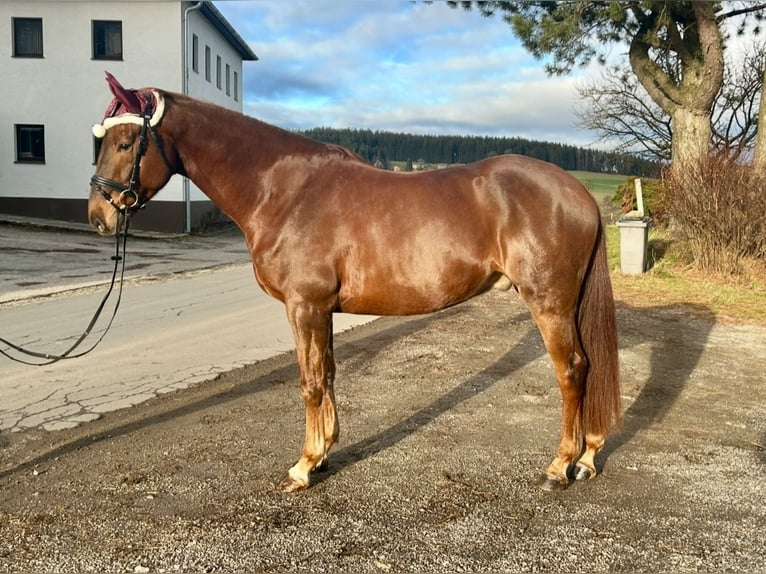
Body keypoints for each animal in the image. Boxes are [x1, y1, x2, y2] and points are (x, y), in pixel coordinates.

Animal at [87, 73, 620, 496]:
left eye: (124, 143)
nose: (98, 217)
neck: (283, 191)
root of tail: (579, 192)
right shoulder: (321, 310)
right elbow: (327, 376)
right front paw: (323, 454)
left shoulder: (304, 306)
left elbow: (309, 383)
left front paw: (303, 468)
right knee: (589, 366)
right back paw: (588, 458)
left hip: (549, 303)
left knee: (573, 370)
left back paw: (559, 466)